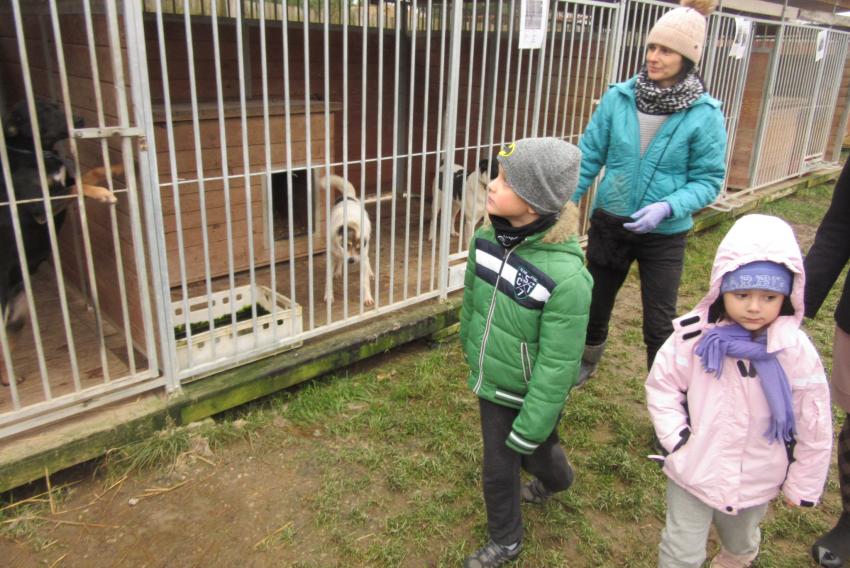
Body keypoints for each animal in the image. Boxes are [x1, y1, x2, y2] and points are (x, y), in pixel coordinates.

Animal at [1, 99, 117, 387]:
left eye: (56, 104)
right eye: (42, 111)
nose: (80, 119)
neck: (36, 153)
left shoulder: (67, 182)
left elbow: (89, 174)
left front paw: (115, 169)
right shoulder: (43, 206)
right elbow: (78, 188)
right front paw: (103, 194)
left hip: (19, 315)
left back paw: (9, 379)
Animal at [320, 174, 374, 307]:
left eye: (358, 248)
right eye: (346, 245)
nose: (351, 260)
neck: (352, 222)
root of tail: (349, 196)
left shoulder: (362, 255)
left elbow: (365, 282)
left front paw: (367, 297)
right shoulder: (332, 255)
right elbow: (328, 280)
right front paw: (329, 296)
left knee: (367, 259)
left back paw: (370, 272)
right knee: (340, 260)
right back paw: (338, 271)